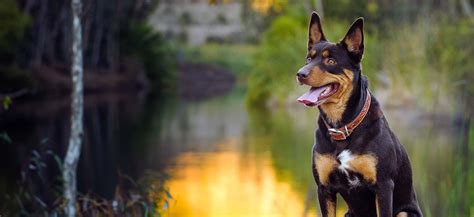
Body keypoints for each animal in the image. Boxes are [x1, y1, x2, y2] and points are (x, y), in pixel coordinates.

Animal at [298, 12, 424, 217]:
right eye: (309, 59)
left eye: (330, 61)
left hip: (404, 212)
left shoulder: (383, 186)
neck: (343, 127)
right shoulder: (324, 188)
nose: (300, 73)